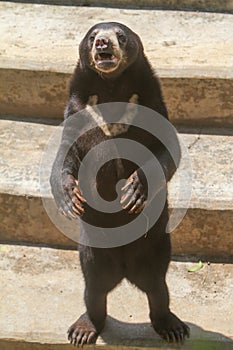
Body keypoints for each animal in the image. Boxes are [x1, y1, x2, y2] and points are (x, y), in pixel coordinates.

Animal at [50, 22, 190, 348]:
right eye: (92, 37)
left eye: (121, 36)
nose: (103, 42)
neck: (111, 88)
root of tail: (125, 271)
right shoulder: (78, 111)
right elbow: (65, 153)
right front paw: (69, 200)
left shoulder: (151, 104)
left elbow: (168, 150)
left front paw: (133, 191)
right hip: (91, 252)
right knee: (94, 291)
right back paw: (82, 330)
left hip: (157, 248)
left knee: (158, 289)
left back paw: (173, 327)